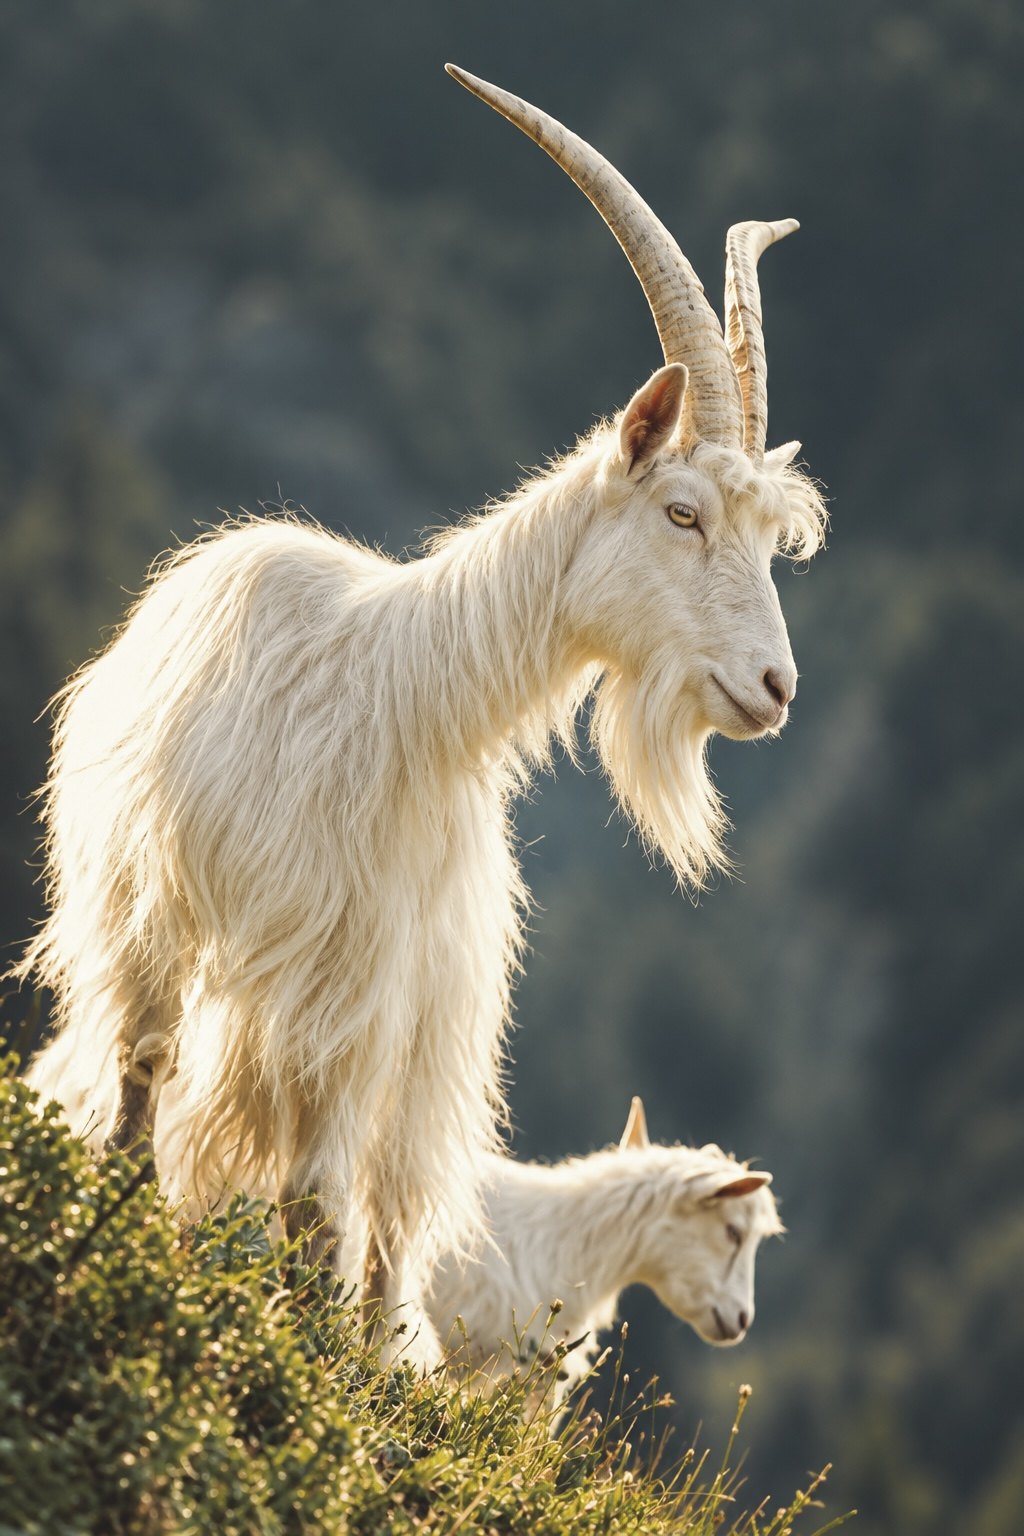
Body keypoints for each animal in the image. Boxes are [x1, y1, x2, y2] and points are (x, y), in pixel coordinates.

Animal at [18, 66, 825, 1362]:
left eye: (768, 538)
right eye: (683, 513)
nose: (773, 689)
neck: (394, 698)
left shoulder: (362, 1004)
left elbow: (319, 1212)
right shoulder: (160, 928)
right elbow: (142, 1097)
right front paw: (116, 1257)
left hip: (422, 1046)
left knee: (383, 1226)